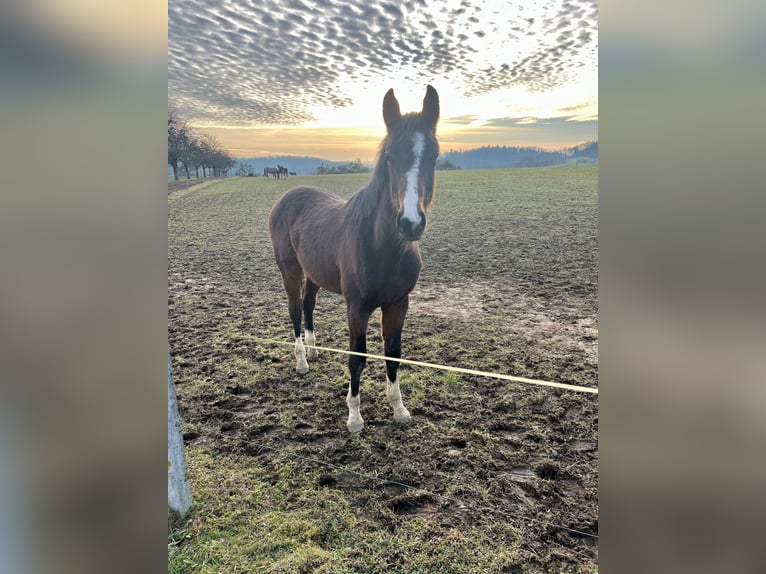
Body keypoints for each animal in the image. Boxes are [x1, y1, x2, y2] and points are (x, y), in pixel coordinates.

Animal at [270, 85, 440, 434]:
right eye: (390, 157)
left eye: (434, 155)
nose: (410, 223)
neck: (383, 248)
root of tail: (288, 196)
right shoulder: (357, 308)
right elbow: (357, 357)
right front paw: (354, 416)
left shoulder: (398, 303)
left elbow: (393, 353)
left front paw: (399, 410)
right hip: (290, 271)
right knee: (294, 310)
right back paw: (302, 361)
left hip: (315, 274)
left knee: (308, 305)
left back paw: (314, 350)